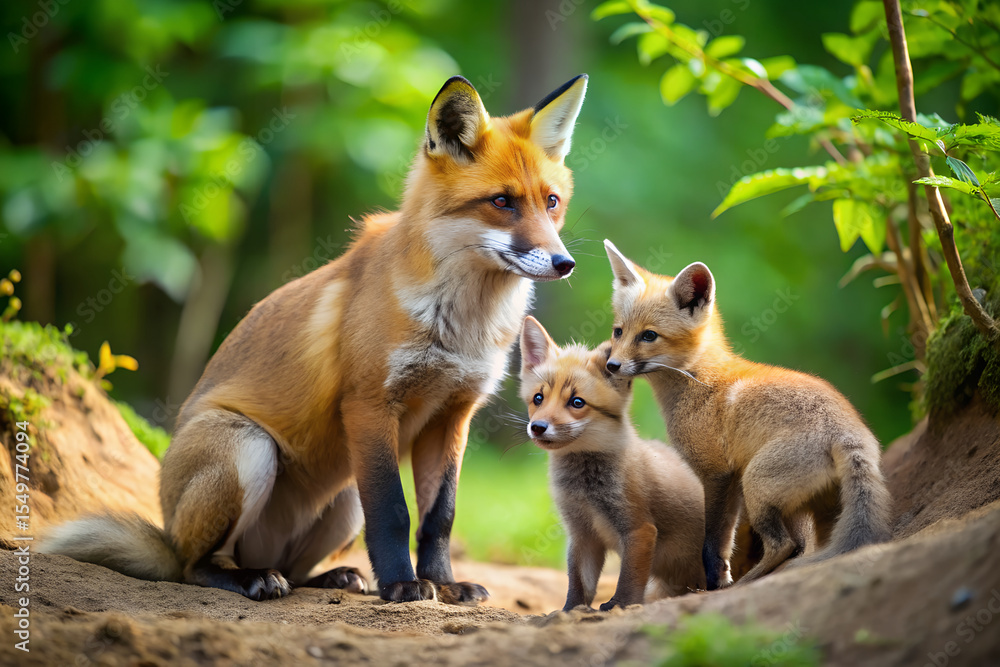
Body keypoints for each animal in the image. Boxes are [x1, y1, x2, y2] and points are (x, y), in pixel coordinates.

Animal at [40, 74, 590, 604]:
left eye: (552, 203)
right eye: (502, 202)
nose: (565, 264)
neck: (461, 327)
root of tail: (169, 531)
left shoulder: (453, 415)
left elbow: (440, 518)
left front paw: (446, 585)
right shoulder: (369, 404)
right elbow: (394, 512)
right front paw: (402, 587)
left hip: (344, 495)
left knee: (295, 569)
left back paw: (331, 578)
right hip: (248, 447)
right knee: (196, 568)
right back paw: (249, 579)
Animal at [518, 316, 706, 611]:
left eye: (577, 402)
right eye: (538, 398)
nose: (537, 427)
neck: (586, 491)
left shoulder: (639, 529)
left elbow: (629, 579)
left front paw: (619, 605)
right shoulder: (582, 534)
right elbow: (578, 583)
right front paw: (570, 612)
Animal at [601, 239, 891, 589]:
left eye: (648, 336)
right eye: (618, 332)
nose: (611, 366)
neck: (701, 380)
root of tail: (850, 431)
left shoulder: (717, 475)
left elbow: (713, 545)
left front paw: (716, 585)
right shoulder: (732, 481)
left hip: (758, 486)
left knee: (785, 544)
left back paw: (746, 582)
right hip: (810, 505)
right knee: (802, 545)